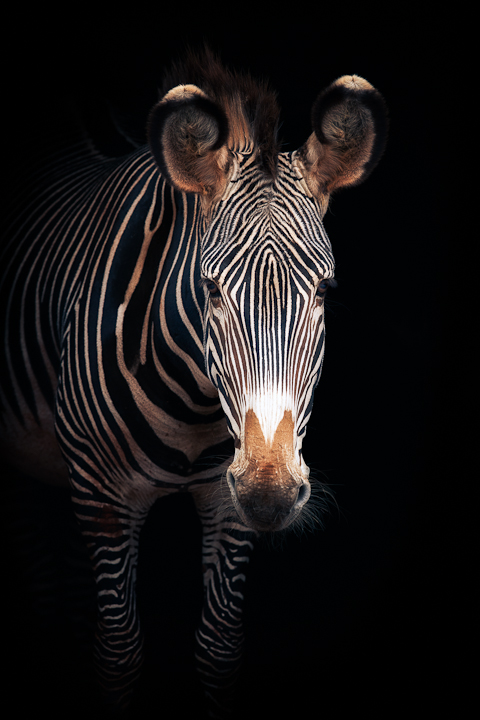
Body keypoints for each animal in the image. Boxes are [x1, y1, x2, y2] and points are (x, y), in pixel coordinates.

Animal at [0, 50, 387, 717]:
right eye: (208, 289)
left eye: (325, 289)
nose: (270, 495)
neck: (192, 404)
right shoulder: (101, 500)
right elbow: (119, 651)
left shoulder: (227, 506)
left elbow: (218, 646)